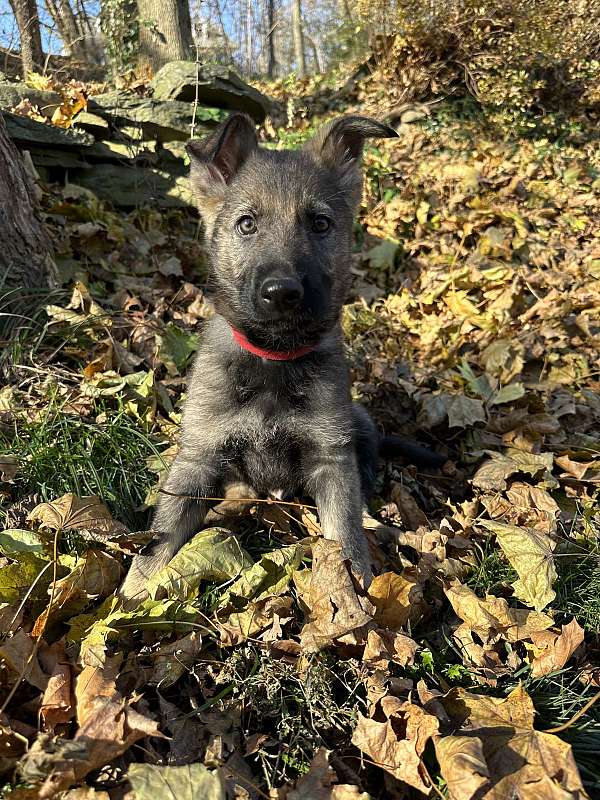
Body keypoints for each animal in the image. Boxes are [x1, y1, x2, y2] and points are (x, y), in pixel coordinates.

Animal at [118, 111, 398, 600]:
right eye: (247, 224)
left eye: (320, 224)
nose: (282, 293)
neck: (273, 359)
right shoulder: (198, 457)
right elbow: (163, 534)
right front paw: (135, 592)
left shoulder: (331, 458)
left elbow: (344, 534)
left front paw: (356, 591)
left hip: (357, 422)